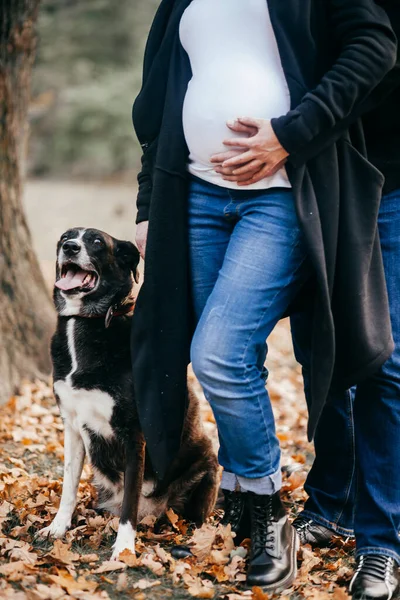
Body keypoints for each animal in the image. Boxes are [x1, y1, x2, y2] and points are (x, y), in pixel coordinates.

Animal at [36, 229, 219, 556]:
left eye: (97, 242)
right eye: (65, 237)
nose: (70, 247)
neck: (84, 321)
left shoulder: (134, 435)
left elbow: (130, 502)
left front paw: (123, 549)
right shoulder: (71, 426)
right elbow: (68, 486)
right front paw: (58, 526)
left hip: (207, 467)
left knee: (193, 518)